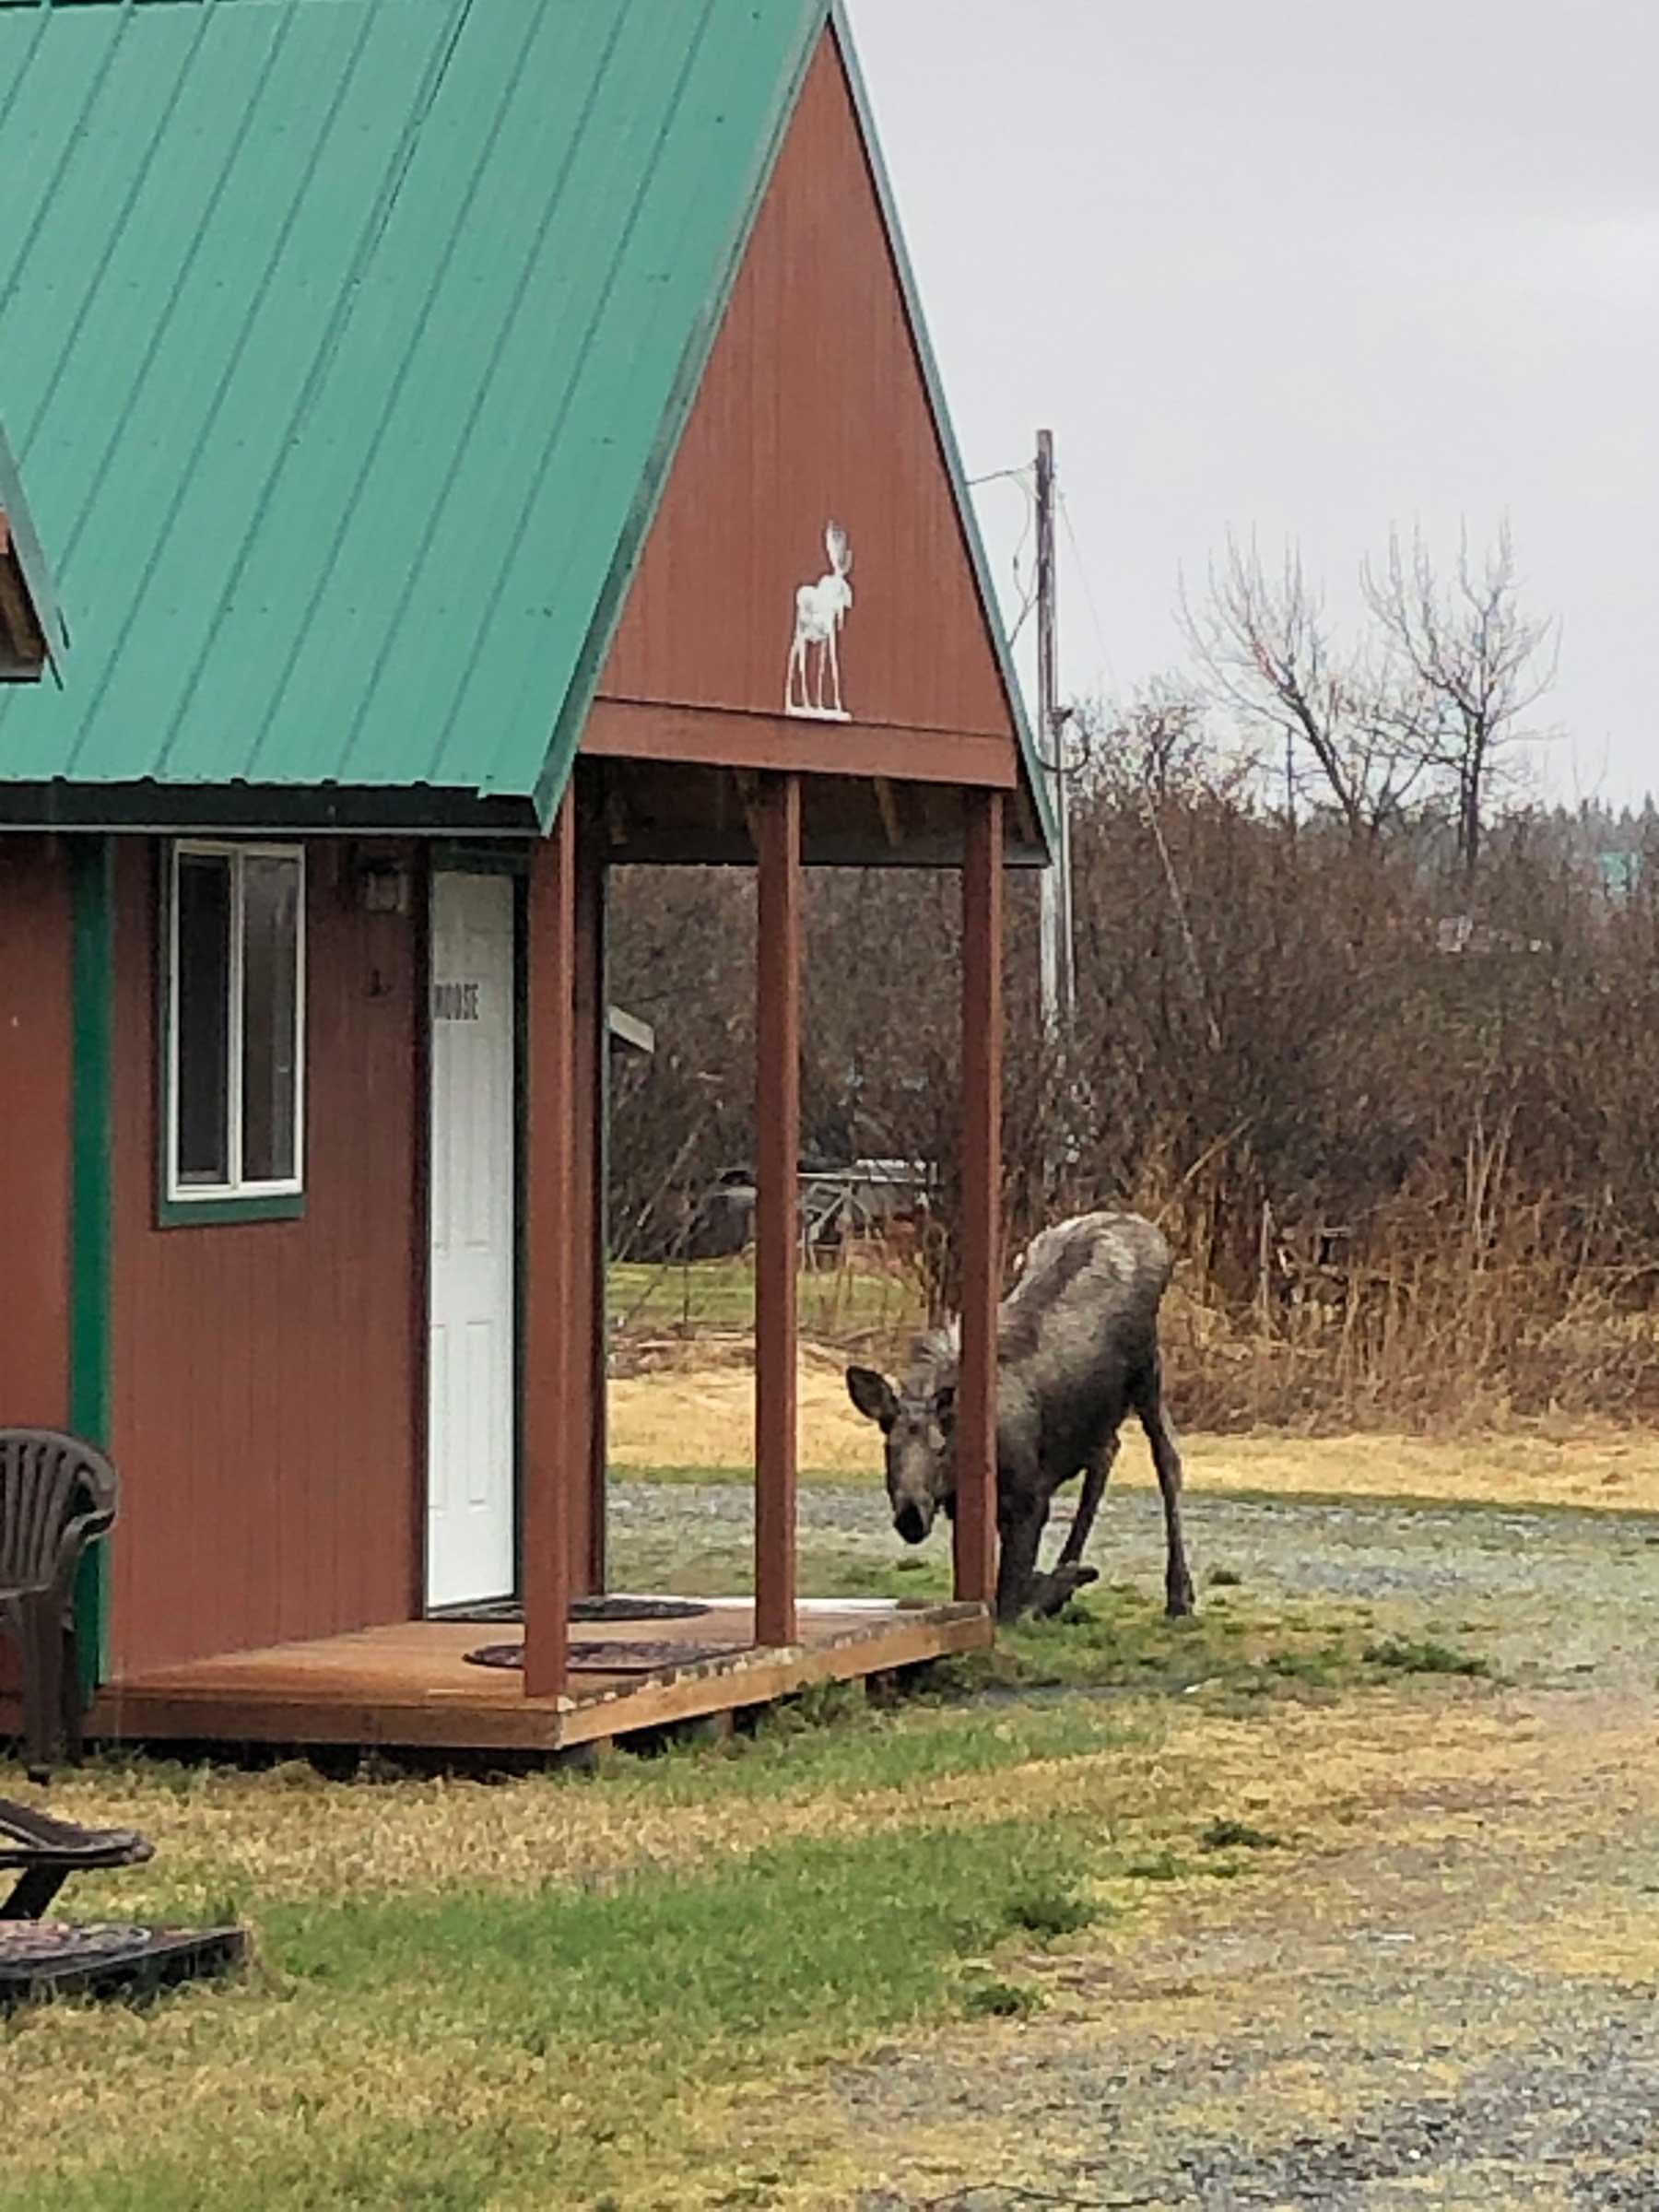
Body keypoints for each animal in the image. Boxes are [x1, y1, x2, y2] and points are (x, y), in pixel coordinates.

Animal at [844, 1212, 1194, 1628]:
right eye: (889, 1446)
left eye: (941, 1448)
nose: (911, 1516)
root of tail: (1150, 1231)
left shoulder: (1028, 1499)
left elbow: (1007, 1606)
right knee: (1107, 1451)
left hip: (1148, 1370)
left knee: (1167, 1456)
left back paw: (1179, 1595)